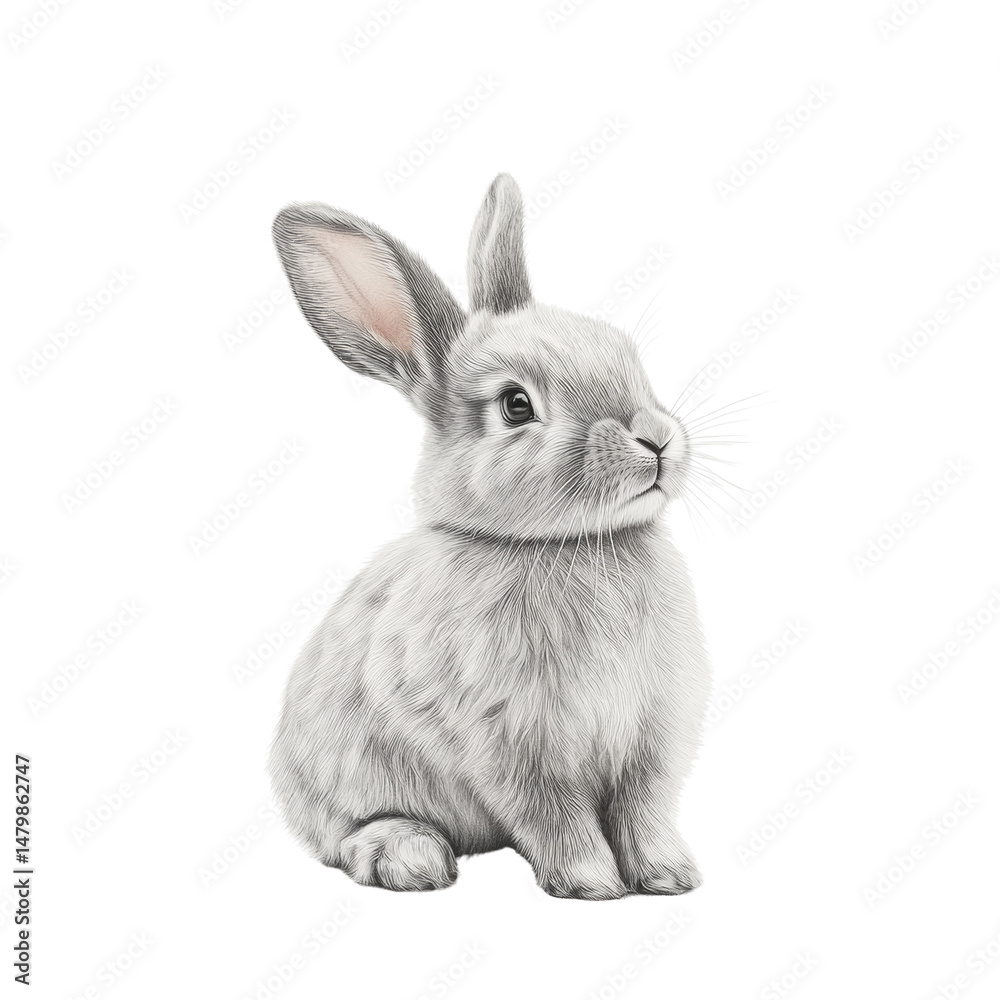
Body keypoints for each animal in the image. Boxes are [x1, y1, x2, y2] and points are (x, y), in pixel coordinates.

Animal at [268, 174, 711, 899]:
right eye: (515, 405)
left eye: (626, 354)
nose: (655, 439)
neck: (565, 545)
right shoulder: (512, 742)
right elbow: (556, 814)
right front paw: (591, 883)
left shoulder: (651, 736)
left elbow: (644, 809)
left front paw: (671, 876)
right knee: (345, 836)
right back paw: (407, 854)